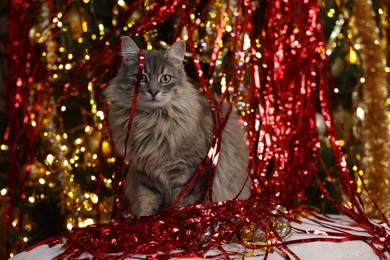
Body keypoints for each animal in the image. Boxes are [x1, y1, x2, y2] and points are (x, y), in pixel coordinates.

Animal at [104, 36, 250, 215]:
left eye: (165, 78)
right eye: (142, 78)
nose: (153, 92)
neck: (151, 121)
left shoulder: (191, 170)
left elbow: (185, 201)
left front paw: (178, 216)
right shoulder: (145, 172)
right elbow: (147, 199)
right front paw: (145, 217)